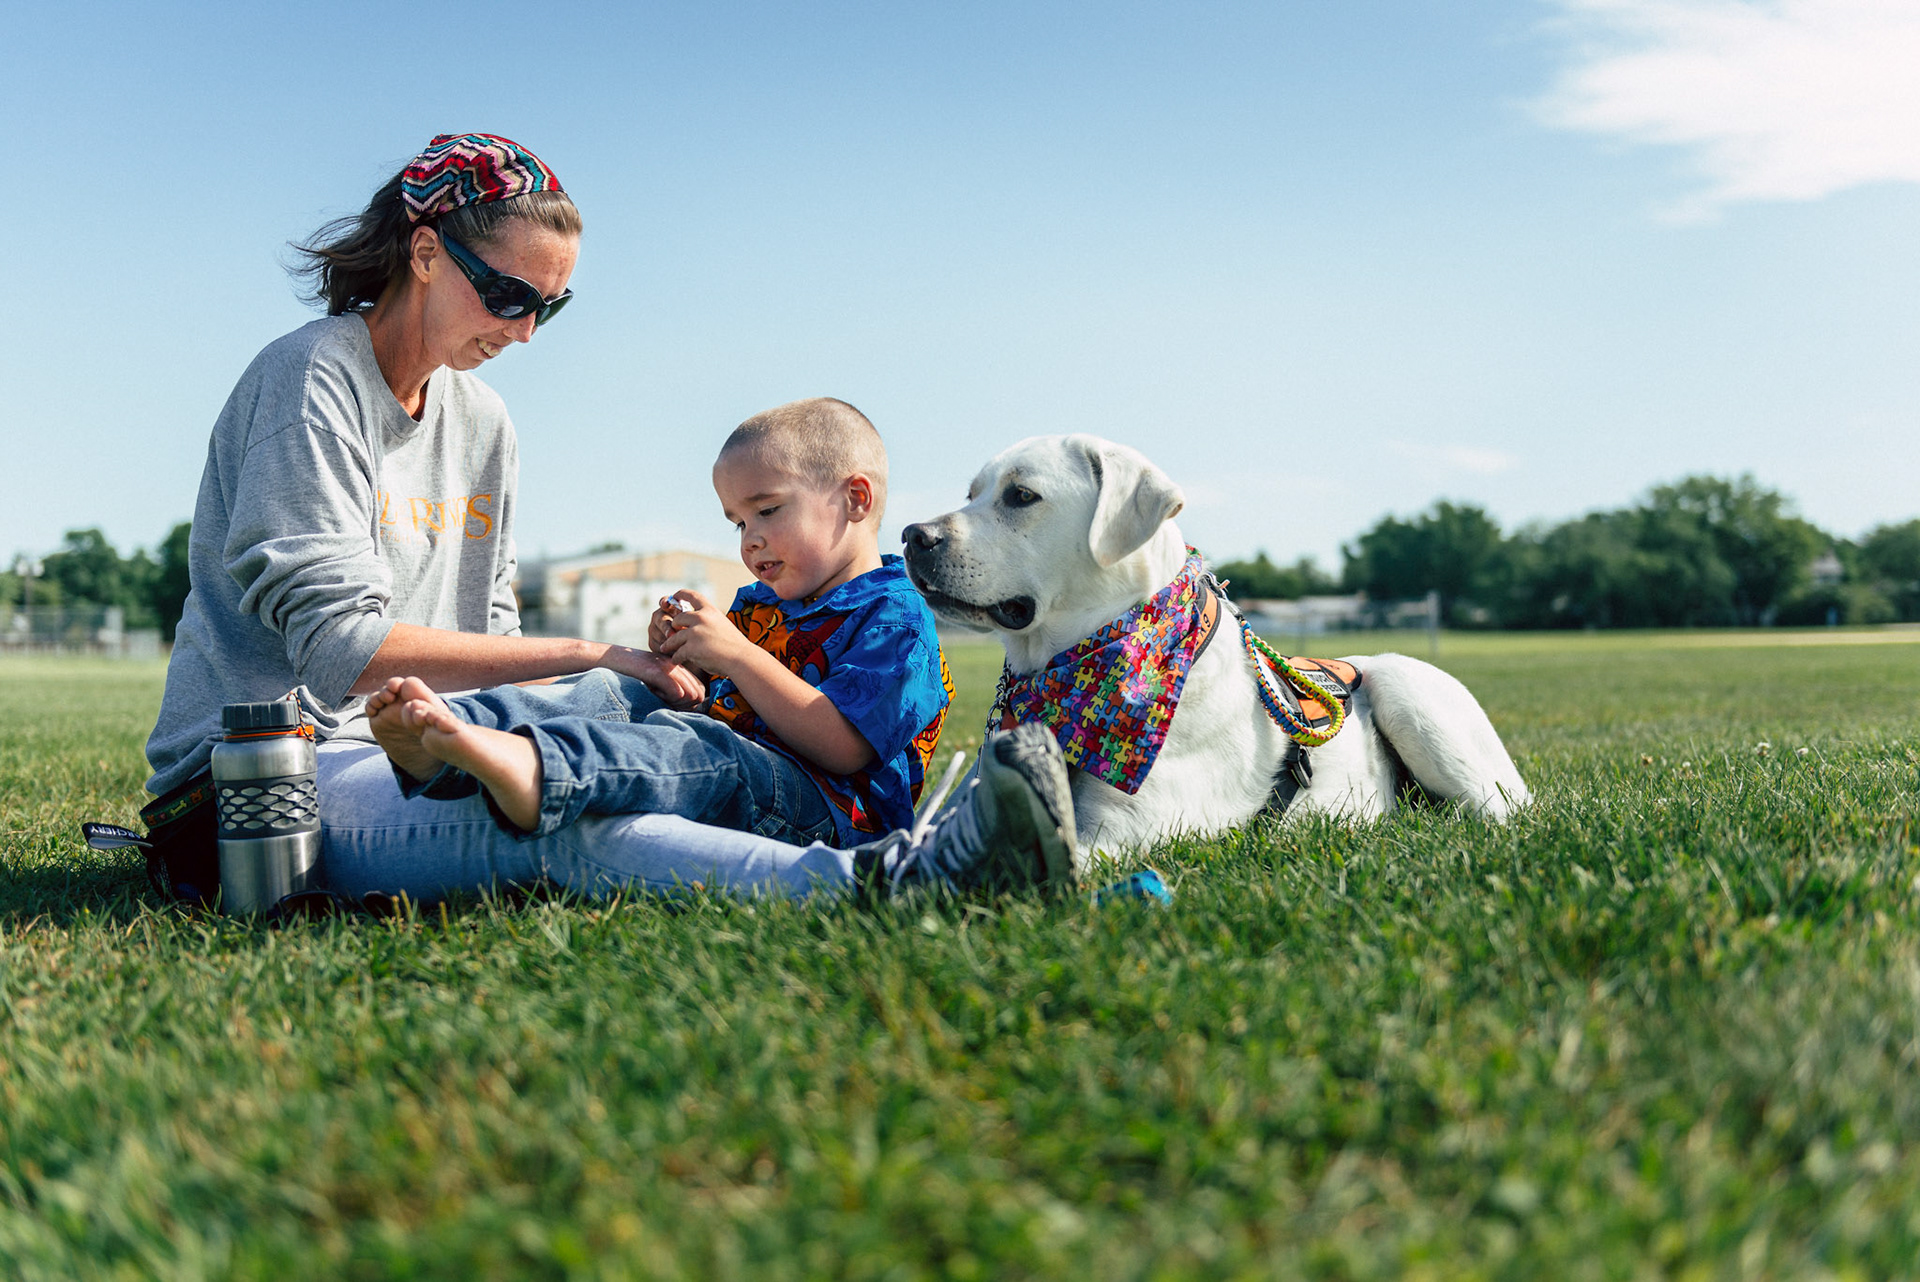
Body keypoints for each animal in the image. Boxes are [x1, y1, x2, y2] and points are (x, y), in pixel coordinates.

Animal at [902, 434, 1531, 862]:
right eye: (971, 494)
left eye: (1022, 495)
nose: (912, 535)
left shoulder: (1122, 828)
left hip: (1413, 696)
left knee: (1503, 813)